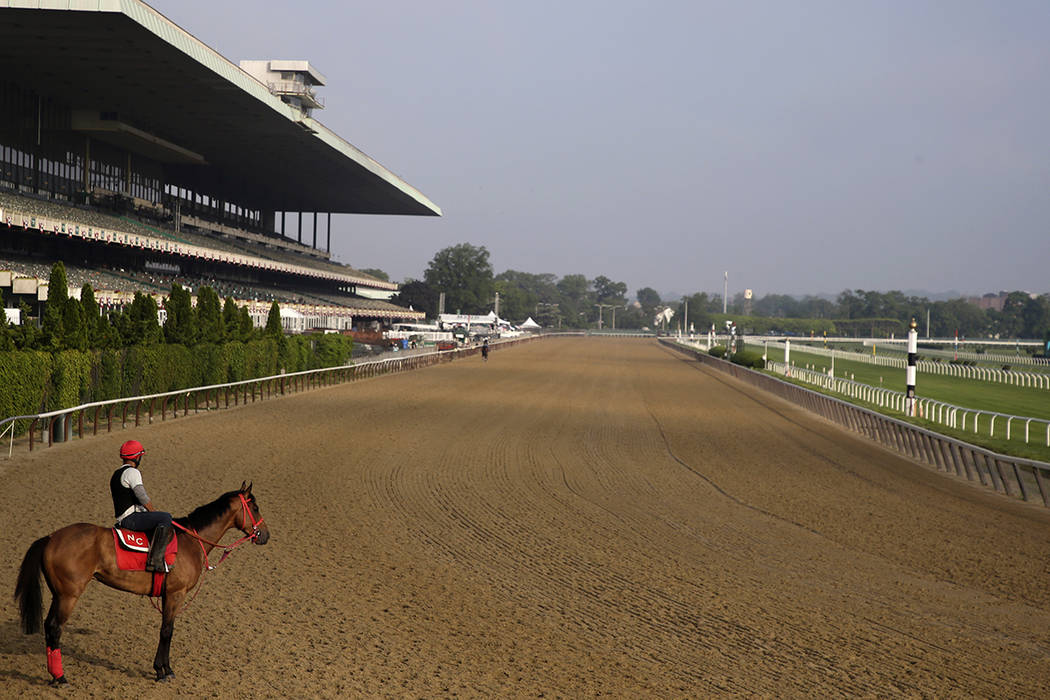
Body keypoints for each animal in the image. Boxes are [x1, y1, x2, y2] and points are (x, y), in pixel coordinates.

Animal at [14, 482, 268, 684]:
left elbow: (166, 629)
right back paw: (60, 677)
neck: (190, 541)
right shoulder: (176, 594)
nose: (265, 535)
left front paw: (163, 668)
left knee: (49, 627)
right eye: (255, 508)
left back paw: (54, 675)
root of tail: (51, 538)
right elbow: (167, 631)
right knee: (55, 628)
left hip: (59, 594)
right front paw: (163, 671)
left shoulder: (167, 595)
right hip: (69, 595)